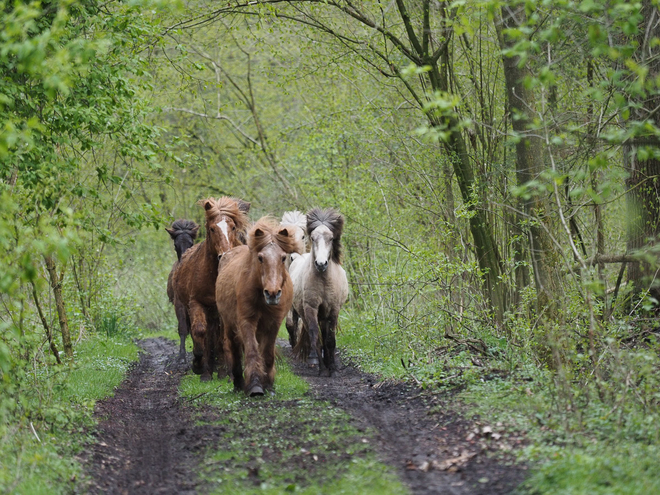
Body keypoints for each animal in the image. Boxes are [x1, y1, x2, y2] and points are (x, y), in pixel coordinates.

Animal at [170, 196, 250, 382]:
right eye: (212, 228)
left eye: (233, 227)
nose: (225, 255)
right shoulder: (195, 303)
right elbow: (199, 332)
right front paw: (200, 367)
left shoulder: (221, 310)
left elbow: (222, 340)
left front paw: (222, 373)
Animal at [215, 219, 300, 398]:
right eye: (260, 258)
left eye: (283, 257)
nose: (272, 293)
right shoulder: (246, 321)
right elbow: (252, 350)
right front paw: (254, 384)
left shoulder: (273, 323)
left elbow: (267, 352)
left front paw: (268, 384)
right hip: (229, 324)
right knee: (234, 349)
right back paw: (238, 382)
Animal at [290, 206, 350, 376]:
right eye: (313, 238)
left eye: (331, 238)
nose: (321, 264)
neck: (323, 281)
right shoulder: (311, 308)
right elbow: (315, 337)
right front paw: (323, 369)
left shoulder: (333, 310)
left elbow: (330, 339)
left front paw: (333, 369)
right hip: (304, 312)